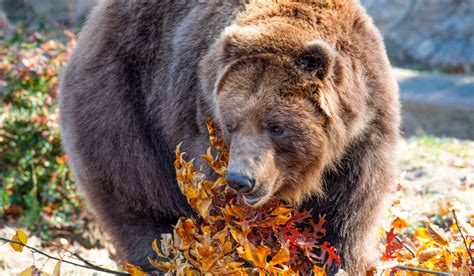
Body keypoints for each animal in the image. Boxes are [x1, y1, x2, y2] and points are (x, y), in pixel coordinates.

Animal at [59, 0, 400, 274]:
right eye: (231, 124)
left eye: (276, 126)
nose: (241, 180)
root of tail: (92, 25)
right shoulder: (200, 125)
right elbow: (227, 219)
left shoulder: (364, 135)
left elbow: (349, 213)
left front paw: (337, 261)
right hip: (126, 111)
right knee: (138, 199)